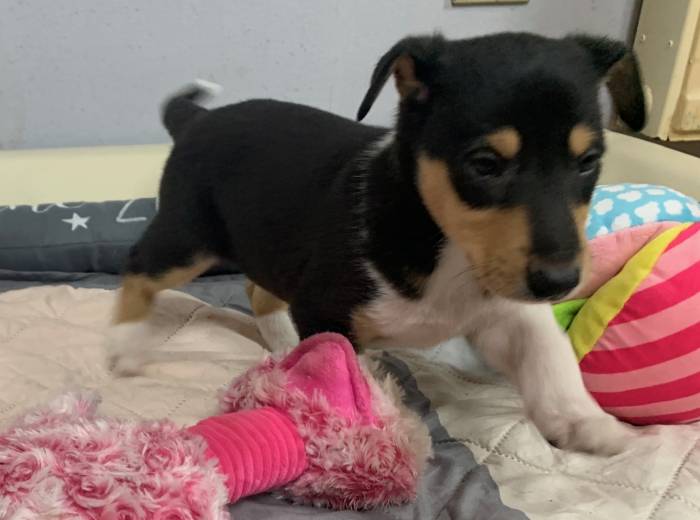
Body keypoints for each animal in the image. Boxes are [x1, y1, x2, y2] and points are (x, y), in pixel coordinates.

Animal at [110, 32, 646, 454]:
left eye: (588, 161)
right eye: (485, 164)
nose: (560, 281)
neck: (443, 243)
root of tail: (197, 119)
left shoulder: (499, 307)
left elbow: (548, 350)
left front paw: (586, 423)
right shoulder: (324, 306)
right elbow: (343, 370)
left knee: (257, 290)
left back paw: (283, 345)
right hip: (188, 237)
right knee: (139, 267)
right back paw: (124, 350)